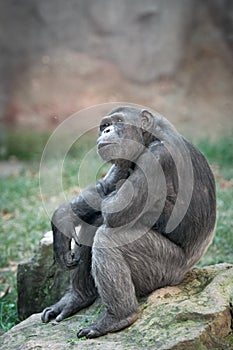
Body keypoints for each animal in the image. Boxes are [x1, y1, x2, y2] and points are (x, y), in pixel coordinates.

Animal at [41, 105, 216, 338]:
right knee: (95, 221)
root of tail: (184, 274)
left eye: (118, 122)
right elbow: (104, 189)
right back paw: (77, 298)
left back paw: (117, 318)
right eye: (105, 126)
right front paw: (61, 219)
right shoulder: (123, 162)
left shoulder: (156, 159)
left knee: (109, 236)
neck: (151, 138)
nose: (106, 132)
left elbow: (116, 210)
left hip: (165, 272)